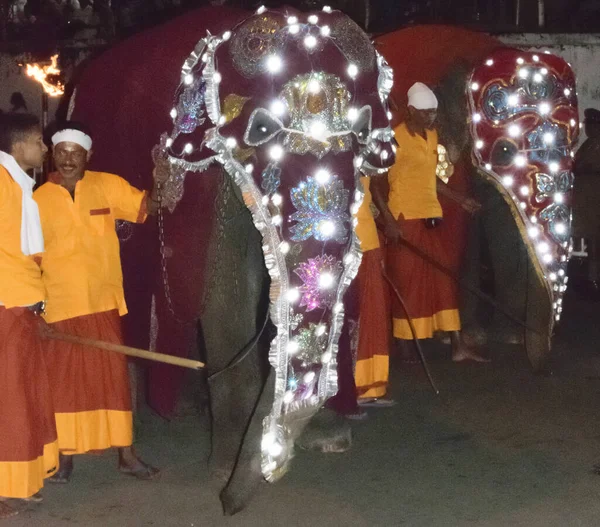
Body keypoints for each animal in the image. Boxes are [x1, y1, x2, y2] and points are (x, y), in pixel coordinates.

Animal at [64, 4, 394, 516]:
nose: (227, 505)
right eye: (261, 130)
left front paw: (323, 442)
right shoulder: (206, 185)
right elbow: (224, 295)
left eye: (362, 133)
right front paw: (223, 470)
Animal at [378, 25, 580, 372]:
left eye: (576, 141)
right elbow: (456, 229)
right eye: (504, 151)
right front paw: (467, 337)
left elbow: (504, 225)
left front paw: (506, 337)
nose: (542, 356)